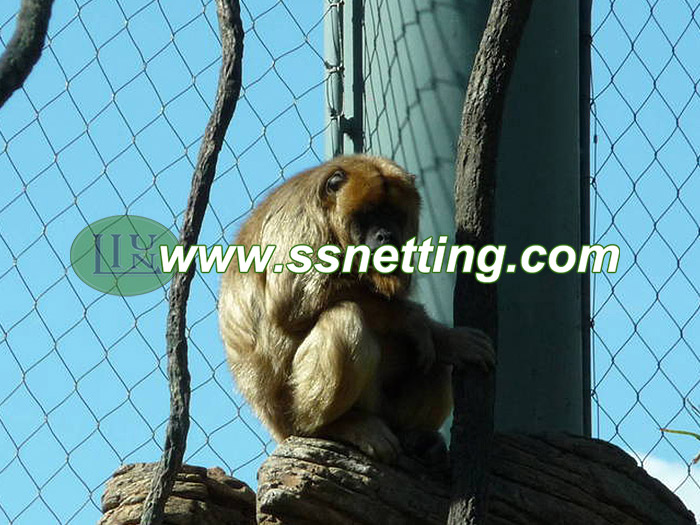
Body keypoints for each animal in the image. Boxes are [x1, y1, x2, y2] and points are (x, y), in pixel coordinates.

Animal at [218, 154, 494, 462]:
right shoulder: (300, 220)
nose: (386, 235)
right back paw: (334, 426)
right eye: (369, 215)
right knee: (344, 317)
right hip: (288, 412)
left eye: (394, 215)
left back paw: (415, 436)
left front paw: (449, 338)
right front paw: (414, 319)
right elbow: (289, 302)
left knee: (433, 361)